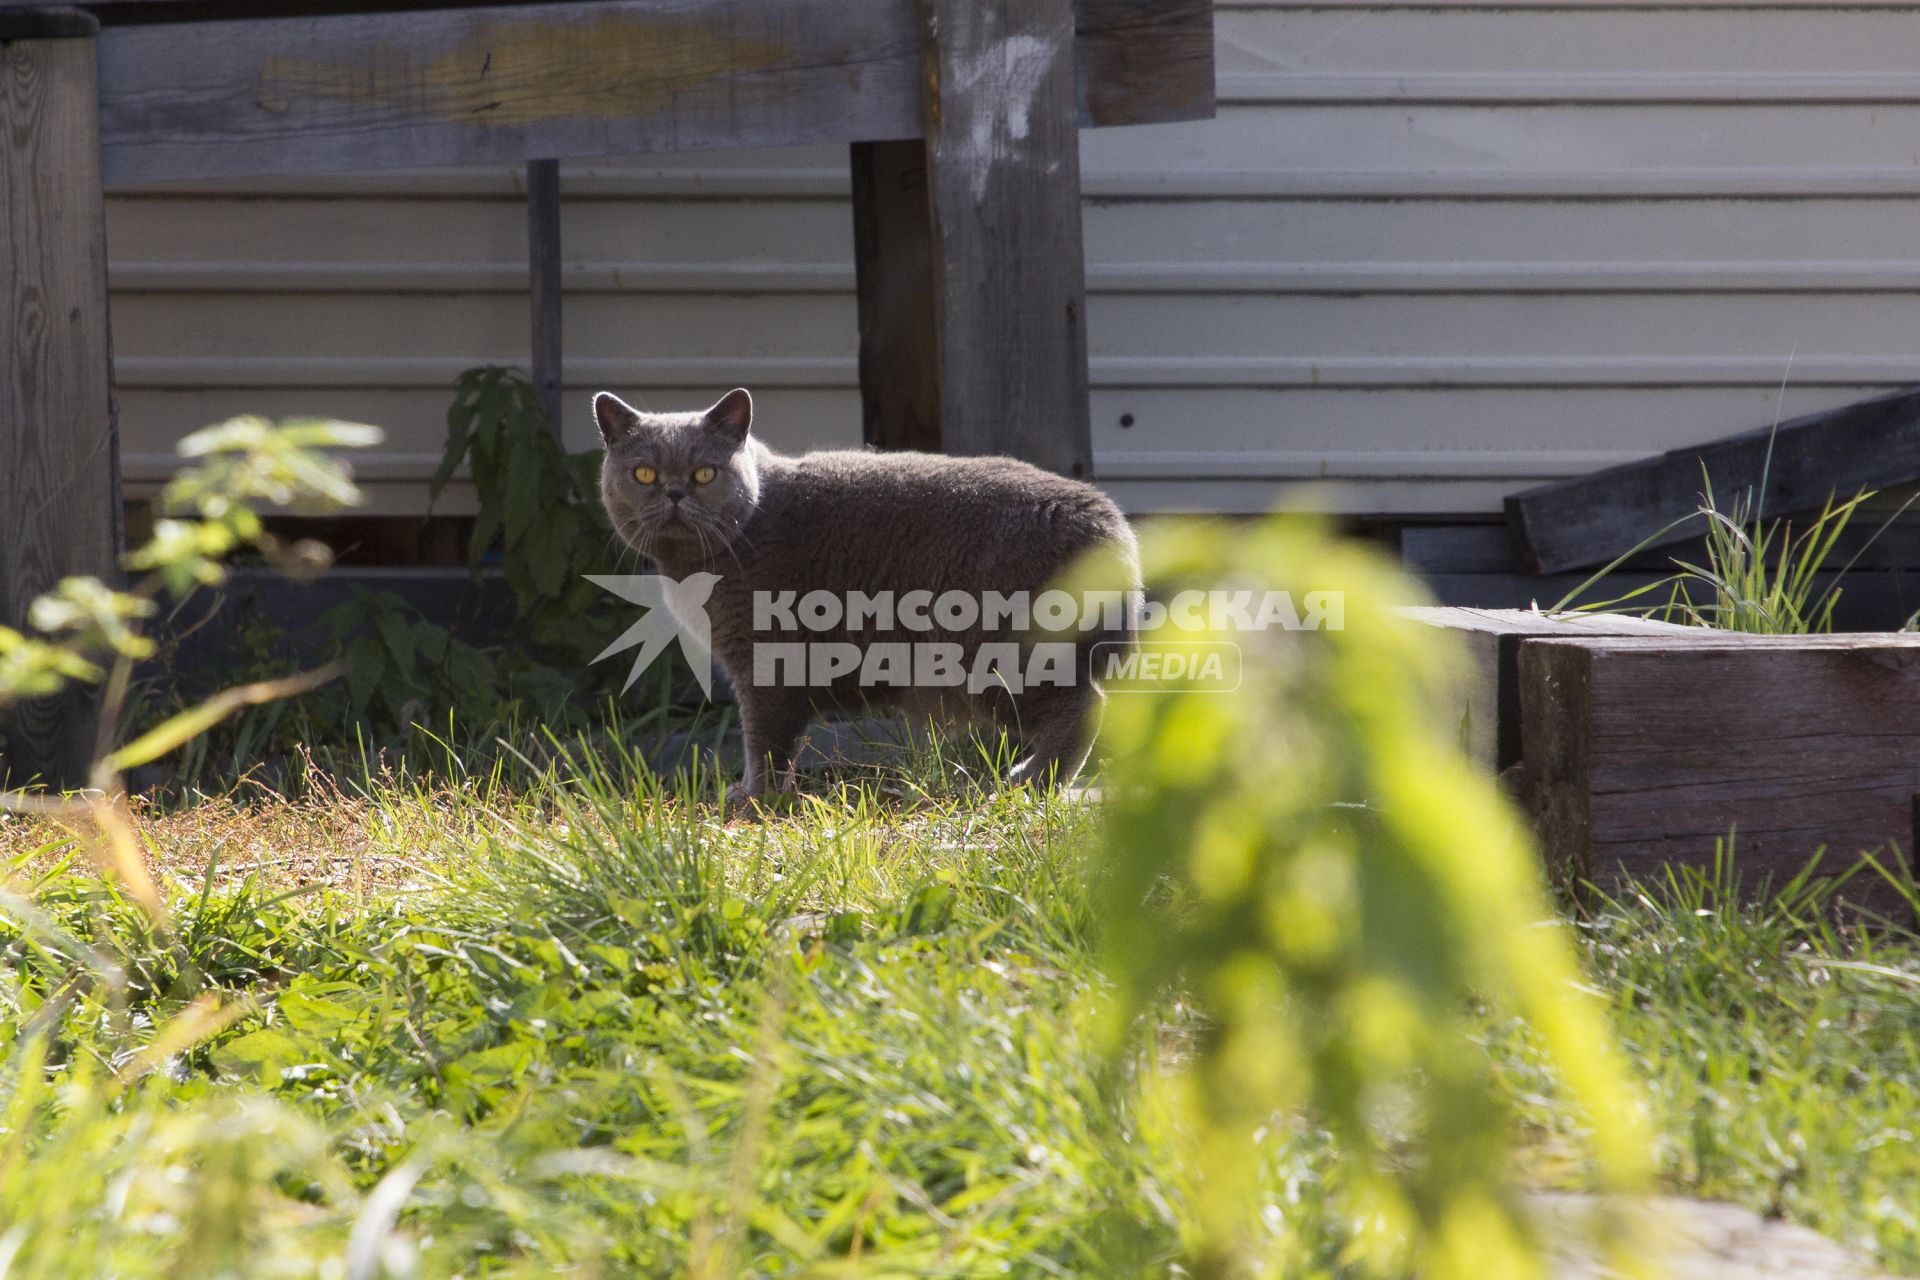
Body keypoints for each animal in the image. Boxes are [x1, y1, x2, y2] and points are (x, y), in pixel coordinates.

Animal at [595, 385, 1136, 794]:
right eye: (643, 473)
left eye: (705, 473)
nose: (674, 492)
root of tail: (1107, 518)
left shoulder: (764, 664)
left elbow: (763, 741)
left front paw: (752, 798)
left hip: (1001, 658)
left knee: (1084, 706)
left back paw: (1030, 782)